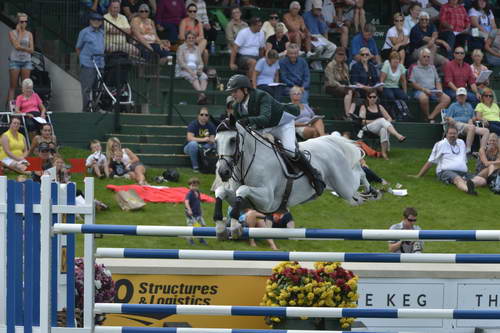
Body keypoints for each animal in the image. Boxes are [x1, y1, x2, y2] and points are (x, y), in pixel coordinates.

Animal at [212, 118, 378, 237]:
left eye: (233, 140)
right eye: (216, 141)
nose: (223, 172)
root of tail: (329, 142)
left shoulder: (267, 201)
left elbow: (243, 189)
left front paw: (234, 227)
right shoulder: (247, 203)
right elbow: (222, 192)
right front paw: (221, 226)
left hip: (344, 186)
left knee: (359, 173)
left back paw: (373, 191)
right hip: (344, 189)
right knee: (356, 193)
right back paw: (364, 196)